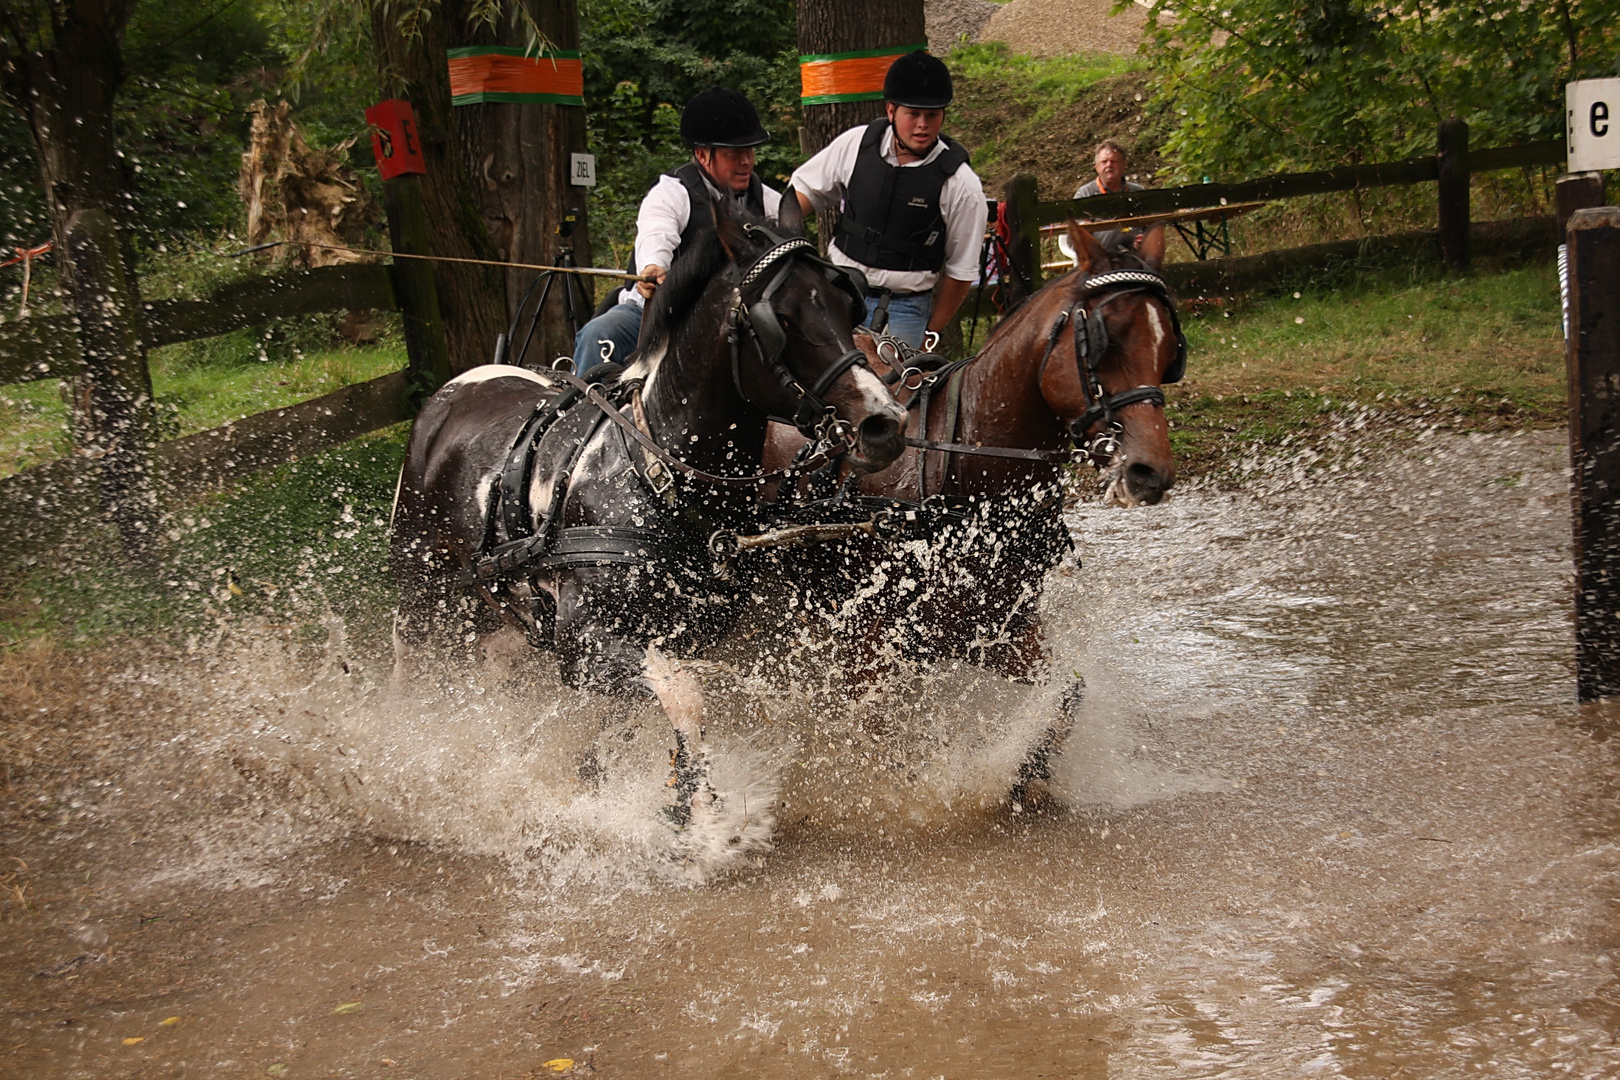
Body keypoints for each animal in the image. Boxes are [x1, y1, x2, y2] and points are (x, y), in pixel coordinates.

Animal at [385, 194, 907, 835]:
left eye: (846, 302)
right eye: (781, 318)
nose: (884, 424)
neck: (653, 475)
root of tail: (452, 389)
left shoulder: (678, 637)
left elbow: (638, 712)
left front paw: (610, 784)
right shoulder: (584, 642)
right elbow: (683, 696)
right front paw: (697, 815)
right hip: (422, 593)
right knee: (414, 668)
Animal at [758, 221, 1192, 793]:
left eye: (1169, 349)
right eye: (1105, 338)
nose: (1150, 471)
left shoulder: (1001, 631)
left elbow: (1067, 693)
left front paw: (1028, 767)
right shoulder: (869, 650)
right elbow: (873, 738)